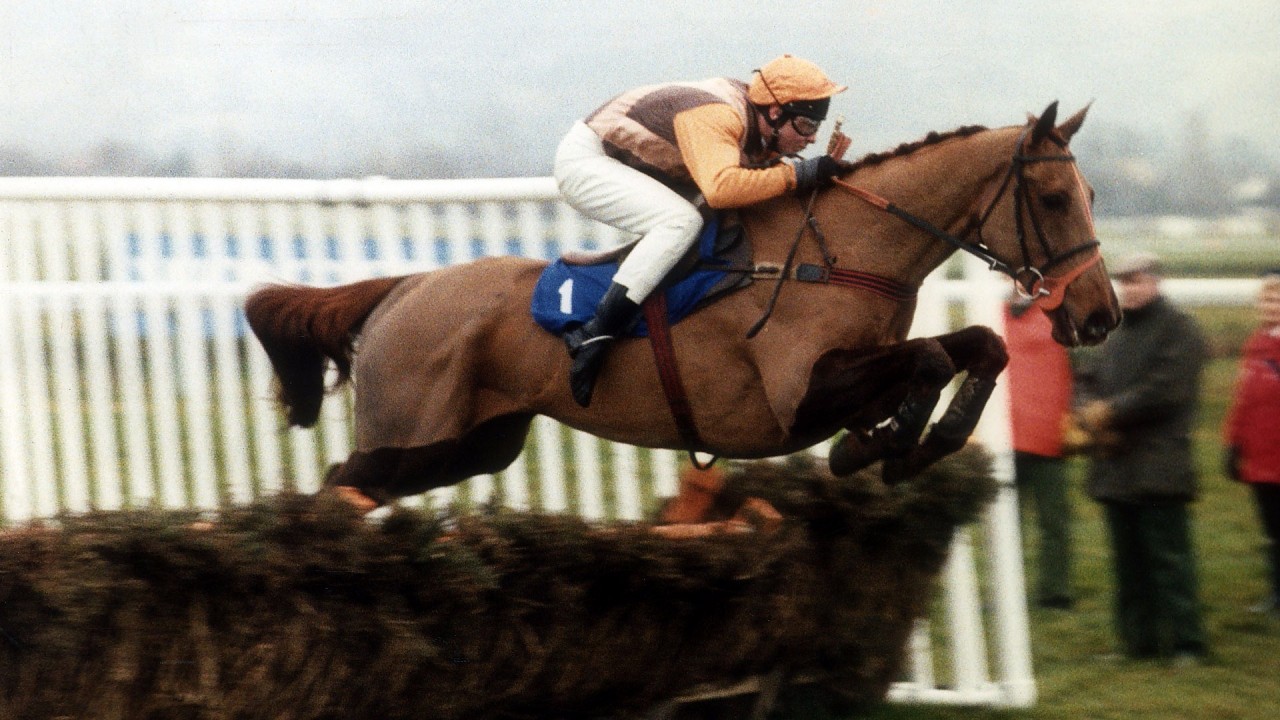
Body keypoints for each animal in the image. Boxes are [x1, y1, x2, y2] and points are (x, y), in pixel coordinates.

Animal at [245, 102, 1120, 506]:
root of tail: (402, 288)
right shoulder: (797, 396)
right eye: (1051, 197)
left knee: (351, 486)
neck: (841, 253)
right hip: (411, 437)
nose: (1100, 315)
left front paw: (916, 441)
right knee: (336, 486)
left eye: (1092, 194)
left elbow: (979, 347)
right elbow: (934, 355)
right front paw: (879, 446)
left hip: (472, 445)